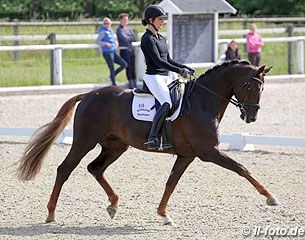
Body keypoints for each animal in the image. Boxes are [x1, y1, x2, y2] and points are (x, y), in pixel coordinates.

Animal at [17, 60, 278, 225]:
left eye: (263, 88)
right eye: (250, 85)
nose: (251, 117)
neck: (202, 102)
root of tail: (89, 95)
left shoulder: (187, 155)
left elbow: (171, 183)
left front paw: (163, 214)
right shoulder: (208, 151)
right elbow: (241, 168)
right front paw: (270, 197)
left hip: (116, 146)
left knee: (95, 168)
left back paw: (113, 204)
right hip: (84, 141)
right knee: (65, 169)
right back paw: (51, 214)